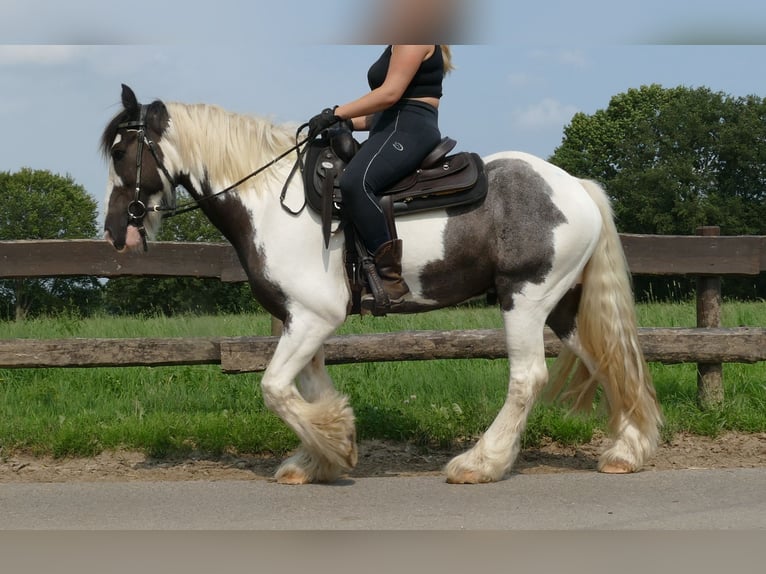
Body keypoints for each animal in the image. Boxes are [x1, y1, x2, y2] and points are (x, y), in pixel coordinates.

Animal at [102, 83, 664, 484]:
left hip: (523, 299)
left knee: (528, 378)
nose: (113, 230)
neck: (271, 202)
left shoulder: (313, 317)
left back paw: (480, 463)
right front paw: (322, 454)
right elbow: (308, 385)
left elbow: (274, 388)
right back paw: (627, 451)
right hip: (562, 305)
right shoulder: (302, 321)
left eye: (122, 152)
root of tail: (577, 187)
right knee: (608, 357)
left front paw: (331, 446)